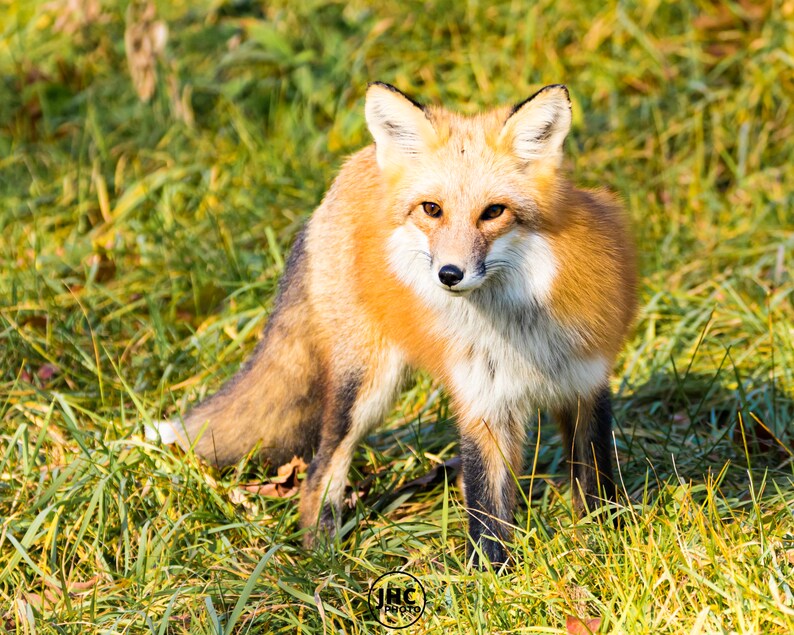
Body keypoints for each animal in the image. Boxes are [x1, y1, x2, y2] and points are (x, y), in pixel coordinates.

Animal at [149, 82, 637, 566]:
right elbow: (487, 516)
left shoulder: (586, 384)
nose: (449, 274)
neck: (522, 328)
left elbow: (597, 487)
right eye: (432, 209)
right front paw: (490, 579)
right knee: (320, 471)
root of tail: (353, 166)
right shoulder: (482, 404)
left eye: (494, 212)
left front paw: (604, 547)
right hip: (367, 387)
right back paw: (325, 556)